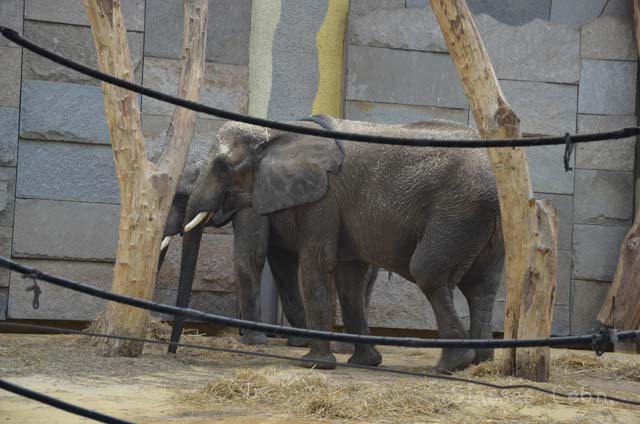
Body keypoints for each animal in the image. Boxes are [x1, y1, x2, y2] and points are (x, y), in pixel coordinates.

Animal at [158, 157, 378, 352]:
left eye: (180, 199)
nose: (172, 350)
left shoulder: (252, 202)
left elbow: (251, 256)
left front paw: (255, 341)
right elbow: (282, 265)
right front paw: (300, 342)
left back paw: (345, 348)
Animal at [181, 115, 504, 372]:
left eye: (222, 167)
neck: (280, 133)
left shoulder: (322, 198)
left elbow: (315, 265)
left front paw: (314, 364)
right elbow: (350, 278)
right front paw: (365, 363)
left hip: (457, 211)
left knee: (429, 272)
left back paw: (452, 364)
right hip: (485, 221)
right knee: (481, 286)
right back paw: (480, 362)